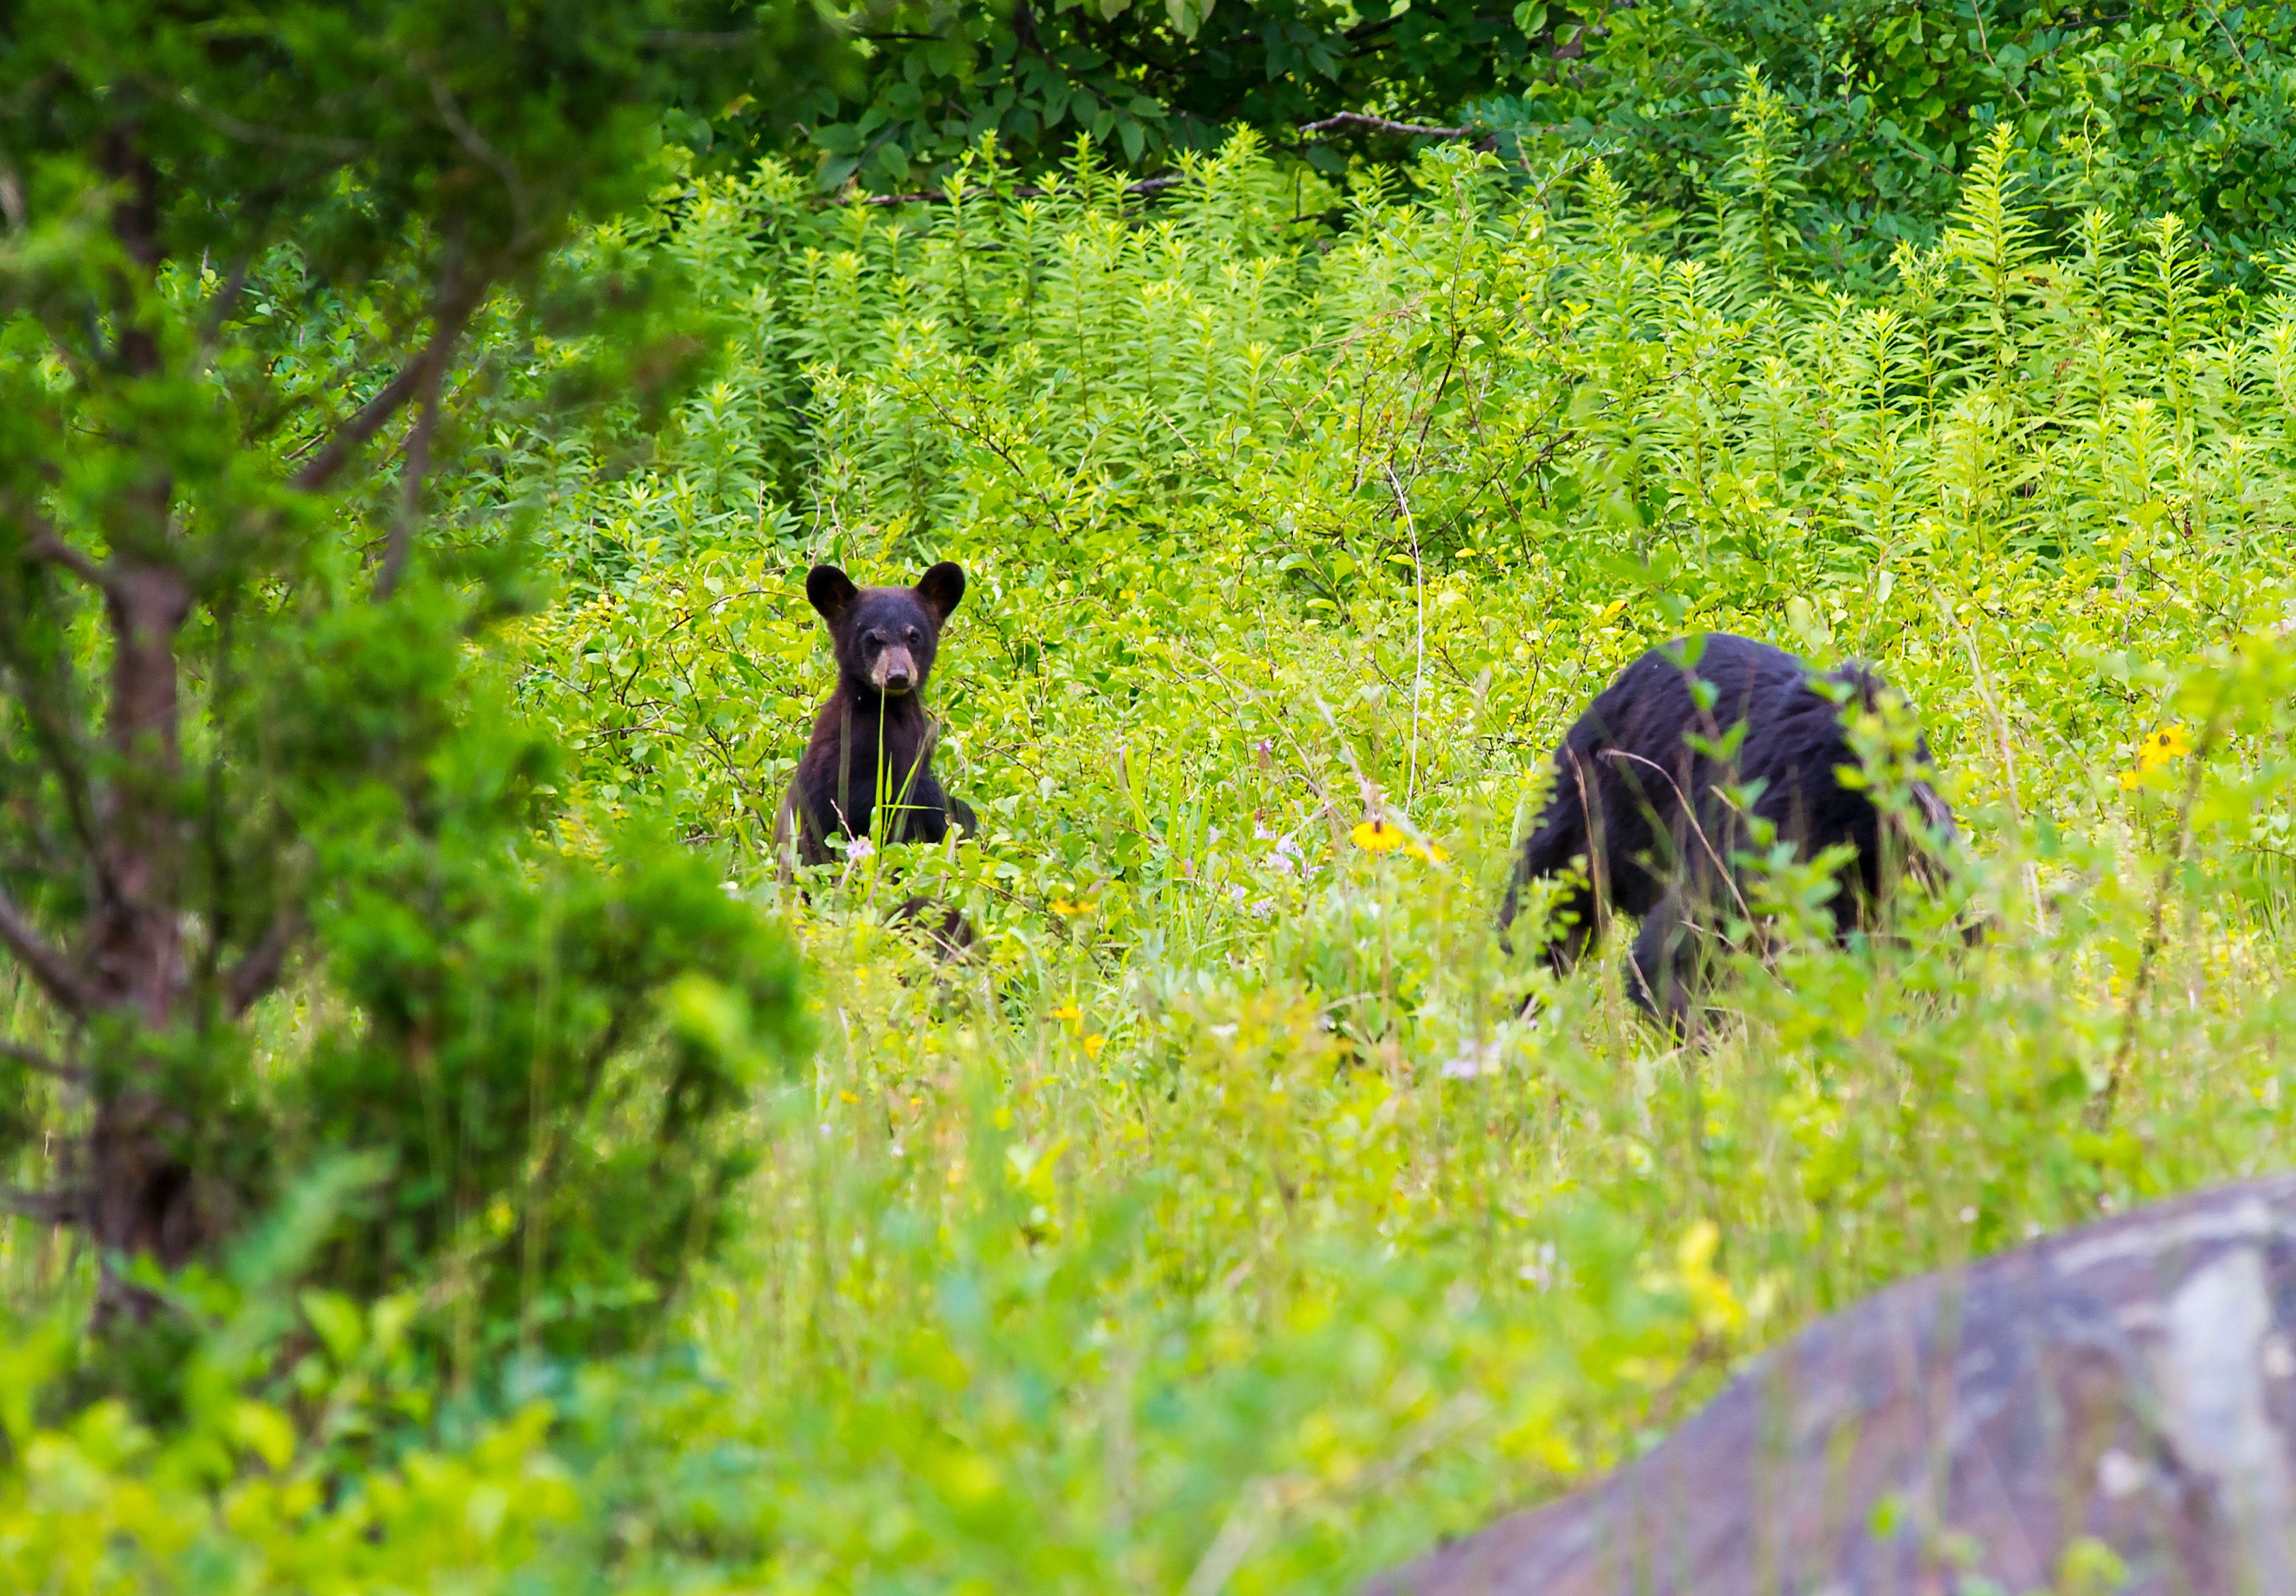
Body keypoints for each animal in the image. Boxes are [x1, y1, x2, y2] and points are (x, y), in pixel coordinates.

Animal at [776, 561, 979, 948]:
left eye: (913, 636)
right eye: (872, 639)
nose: (898, 676)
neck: (889, 712)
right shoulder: (844, 751)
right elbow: (854, 801)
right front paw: (951, 809)